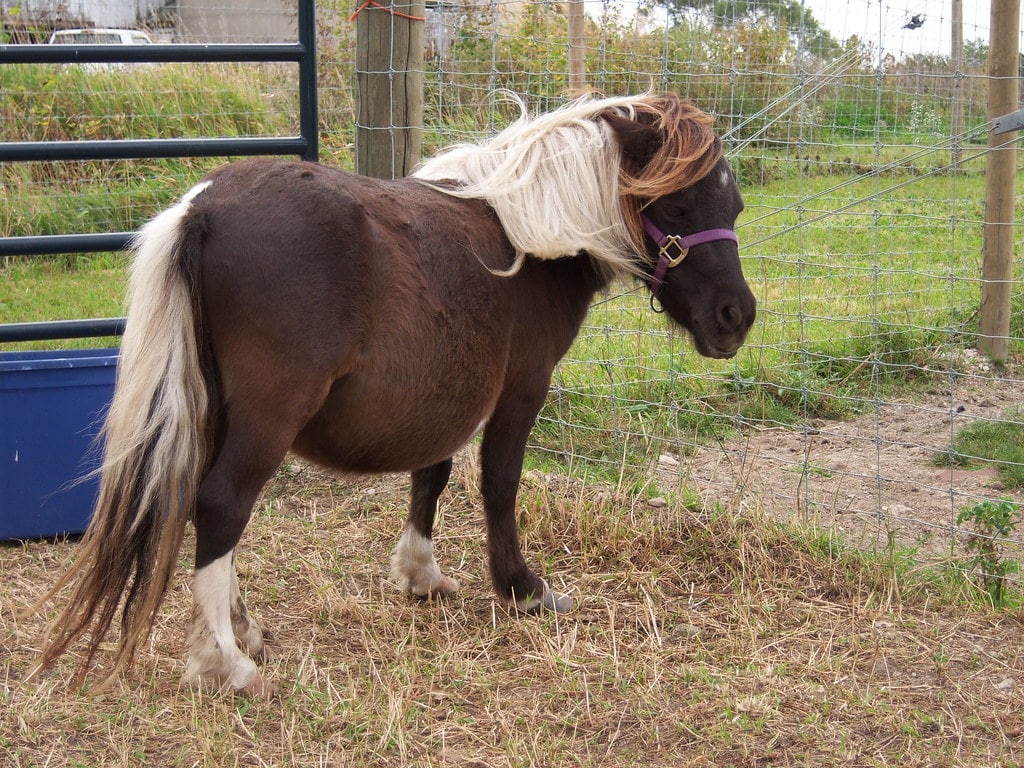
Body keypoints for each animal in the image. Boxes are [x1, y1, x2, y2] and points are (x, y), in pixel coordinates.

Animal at [31, 93, 756, 696]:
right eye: (677, 205)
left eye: (736, 208)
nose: (736, 317)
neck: (526, 230)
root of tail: (205, 208)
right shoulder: (522, 388)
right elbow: (499, 482)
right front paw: (522, 589)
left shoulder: (442, 393)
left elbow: (431, 474)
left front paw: (419, 575)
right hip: (268, 416)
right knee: (220, 503)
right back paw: (225, 662)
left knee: (198, 503)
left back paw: (244, 633)